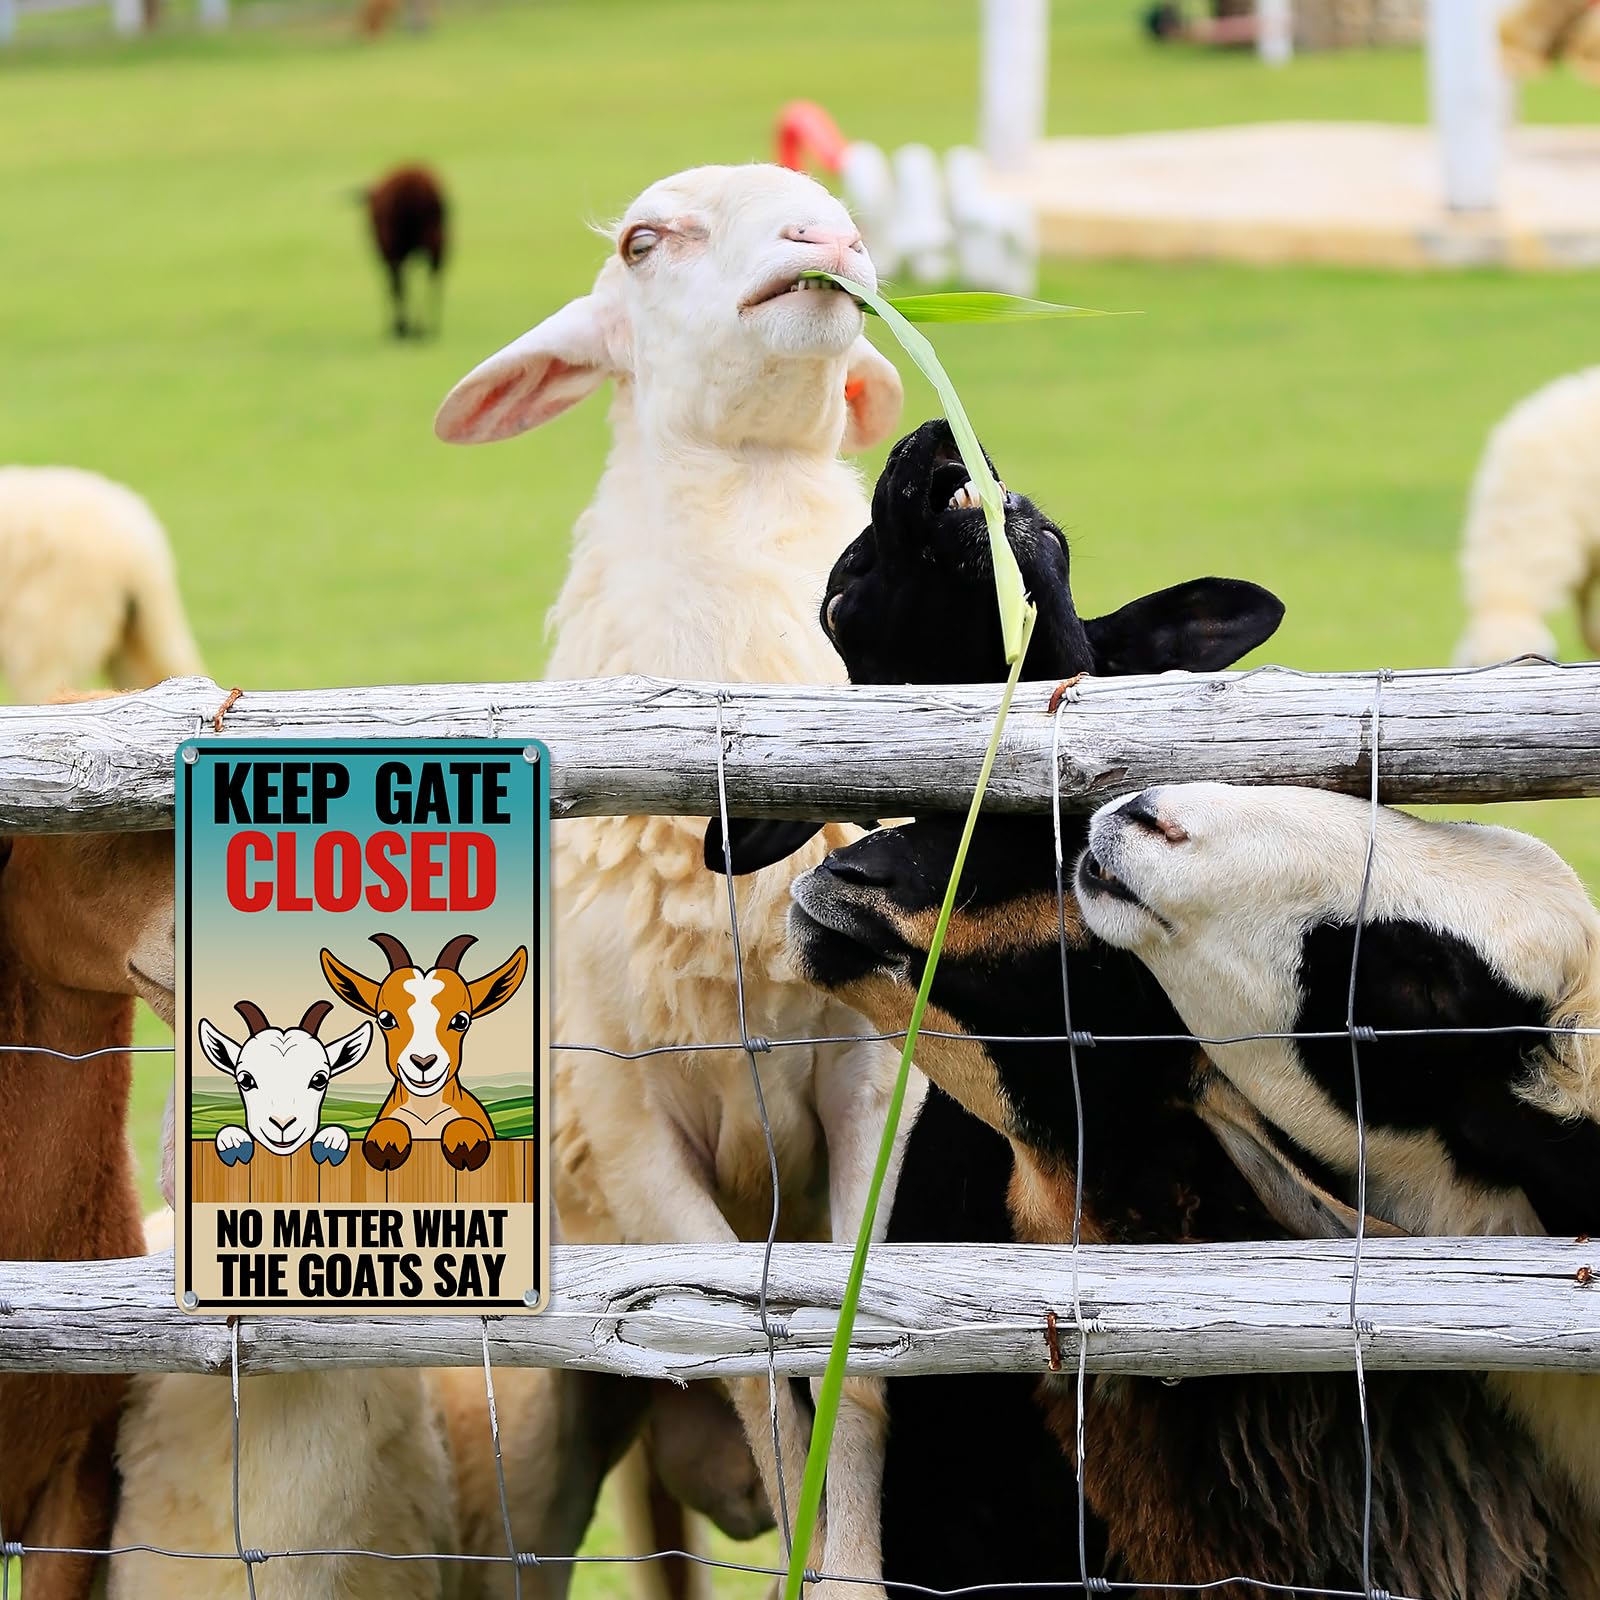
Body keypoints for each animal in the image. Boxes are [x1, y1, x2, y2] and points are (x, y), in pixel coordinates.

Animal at [320, 932, 527, 1171]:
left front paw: (465, 1142)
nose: (423, 1062)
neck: (425, 1114)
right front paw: (386, 1143)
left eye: (461, 1020)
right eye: (386, 1018)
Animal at [363, 165, 447, 339]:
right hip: (436, 241)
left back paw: (415, 327)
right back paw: (427, 326)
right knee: (433, 276)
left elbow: (396, 286)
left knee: (406, 282)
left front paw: (400, 327)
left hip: (405, 245)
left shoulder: (391, 253)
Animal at [433, 162, 904, 1584]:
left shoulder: (868, 1077)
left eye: (835, 203)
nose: (829, 240)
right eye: (646, 240)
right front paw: (814, 1568)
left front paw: (849, 1571)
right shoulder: (631, 1130)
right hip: (544, 1404)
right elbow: (751, 1366)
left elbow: (856, 1353)